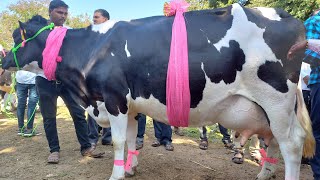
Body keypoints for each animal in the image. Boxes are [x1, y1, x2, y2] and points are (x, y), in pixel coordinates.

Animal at [0, 2, 316, 180]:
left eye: (16, 37)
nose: (3, 61)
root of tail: (283, 14)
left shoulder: (114, 99)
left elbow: (118, 141)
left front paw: (117, 174)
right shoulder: (130, 106)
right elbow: (129, 139)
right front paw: (130, 168)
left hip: (276, 100)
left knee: (291, 144)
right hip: (267, 111)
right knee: (272, 141)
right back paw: (264, 173)